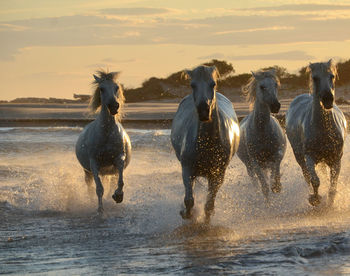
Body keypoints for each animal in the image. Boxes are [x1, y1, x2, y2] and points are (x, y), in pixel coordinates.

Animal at [75, 70, 131, 212]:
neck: (106, 134)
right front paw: (100, 210)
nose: (114, 106)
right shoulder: (94, 163)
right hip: (87, 171)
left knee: (113, 182)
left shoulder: (119, 158)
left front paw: (118, 196)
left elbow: (120, 182)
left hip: (110, 171)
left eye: (116, 87)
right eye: (101, 88)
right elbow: (99, 189)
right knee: (90, 187)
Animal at [170, 64, 241, 222]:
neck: (208, 143)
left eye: (212, 84)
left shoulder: (218, 174)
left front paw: (206, 220)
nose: (203, 110)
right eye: (192, 85)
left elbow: (209, 204)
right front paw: (186, 214)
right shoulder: (187, 169)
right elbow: (189, 200)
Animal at [237, 70, 286, 202]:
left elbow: (276, 170)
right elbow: (264, 187)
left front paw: (277, 187)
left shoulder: (277, 155)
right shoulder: (255, 162)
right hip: (249, 166)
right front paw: (268, 203)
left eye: (275, 85)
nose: (276, 106)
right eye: (262, 86)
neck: (262, 132)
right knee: (255, 182)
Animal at [288, 60, 348, 207]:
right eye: (315, 78)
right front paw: (315, 199)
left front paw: (329, 204)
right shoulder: (310, 157)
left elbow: (332, 186)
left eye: (332, 76)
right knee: (306, 175)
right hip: (299, 156)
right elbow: (315, 180)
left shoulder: (336, 159)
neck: (324, 130)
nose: (328, 99)